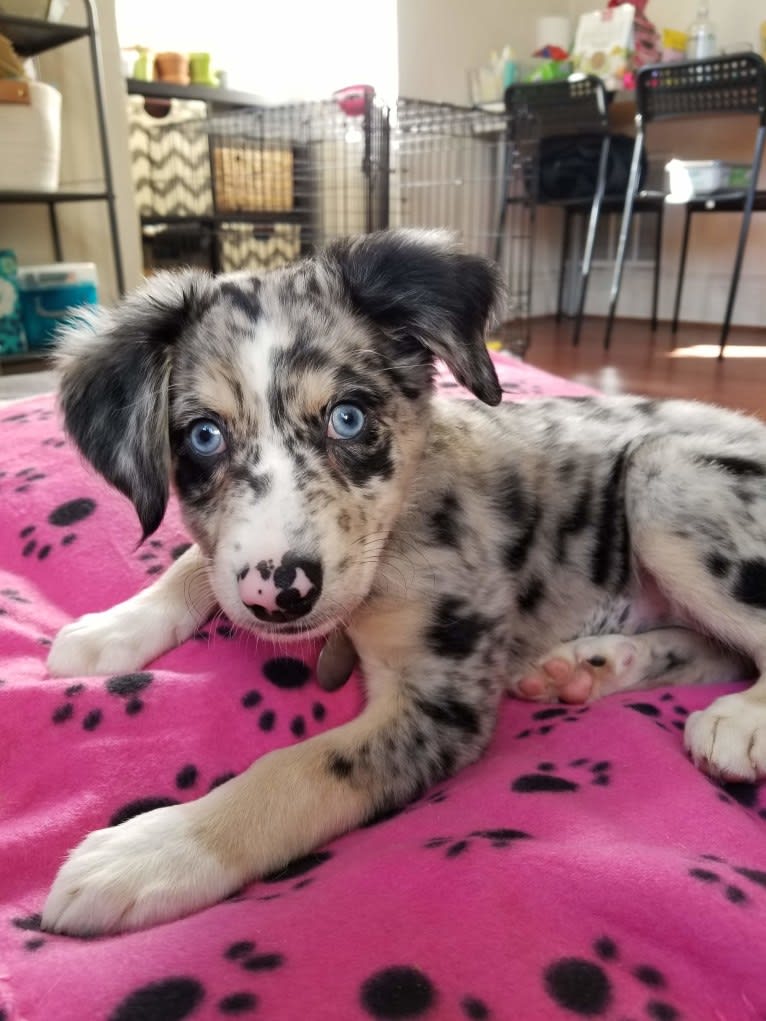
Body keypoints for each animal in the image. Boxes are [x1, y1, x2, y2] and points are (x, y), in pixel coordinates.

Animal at [43, 229, 766, 935]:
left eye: (349, 418)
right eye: (202, 435)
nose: (280, 594)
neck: (393, 536)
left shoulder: (440, 702)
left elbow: (300, 767)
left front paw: (156, 848)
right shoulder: (236, 562)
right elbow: (193, 561)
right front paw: (110, 629)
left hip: (664, 474)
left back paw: (740, 720)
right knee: (718, 650)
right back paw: (591, 665)